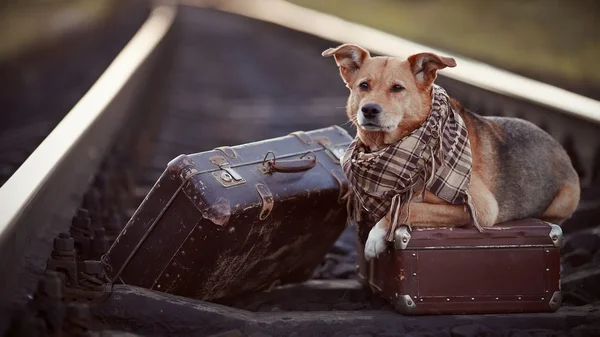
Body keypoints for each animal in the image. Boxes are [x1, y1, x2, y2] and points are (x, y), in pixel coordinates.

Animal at [324, 44, 580, 260]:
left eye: (397, 88)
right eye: (364, 86)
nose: (369, 110)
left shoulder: (480, 209)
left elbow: (408, 207)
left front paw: (375, 237)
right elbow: (406, 206)